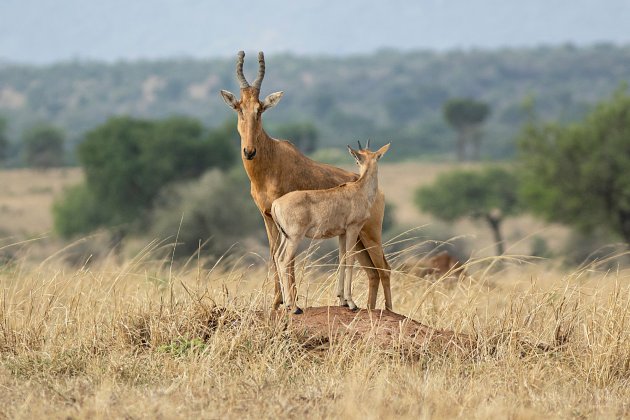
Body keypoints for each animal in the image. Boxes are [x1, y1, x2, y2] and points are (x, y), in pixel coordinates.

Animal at [274, 143, 392, 314]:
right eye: (357, 160)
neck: (359, 189)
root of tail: (276, 203)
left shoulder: (342, 233)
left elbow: (342, 259)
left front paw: (342, 300)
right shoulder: (353, 229)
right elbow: (350, 259)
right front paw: (351, 303)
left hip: (285, 237)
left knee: (277, 256)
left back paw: (287, 304)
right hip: (295, 238)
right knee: (284, 260)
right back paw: (294, 307)